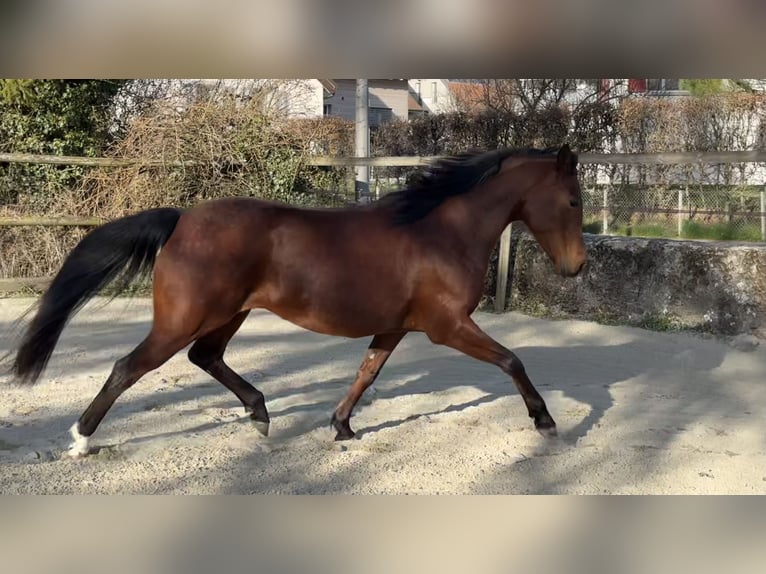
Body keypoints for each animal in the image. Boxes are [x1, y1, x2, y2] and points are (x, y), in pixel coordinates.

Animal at [8, 144, 587, 458]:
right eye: (574, 200)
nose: (577, 267)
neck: (441, 231)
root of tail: (181, 219)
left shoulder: (397, 325)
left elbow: (367, 372)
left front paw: (342, 426)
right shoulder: (448, 325)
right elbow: (512, 360)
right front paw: (546, 421)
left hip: (229, 314)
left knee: (205, 357)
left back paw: (260, 413)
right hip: (185, 319)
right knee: (128, 367)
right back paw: (81, 439)